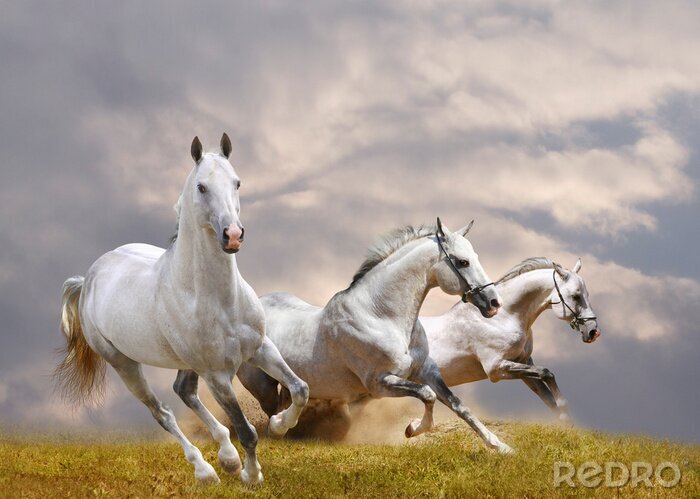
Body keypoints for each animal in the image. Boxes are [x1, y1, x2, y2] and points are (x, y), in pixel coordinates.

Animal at [55, 134, 308, 485]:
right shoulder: (217, 376)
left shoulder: (260, 349)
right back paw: (206, 470)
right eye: (201, 187)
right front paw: (251, 475)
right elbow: (246, 431)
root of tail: (88, 278)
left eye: (237, 182)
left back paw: (227, 458)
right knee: (161, 411)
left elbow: (301, 389)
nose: (232, 235)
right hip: (124, 364)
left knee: (183, 391)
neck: (220, 300)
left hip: (186, 362)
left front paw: (280, 426)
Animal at [238, 219, 514, 453]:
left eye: (475, 258)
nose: (494, 303)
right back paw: (279, 428)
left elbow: (458, 405)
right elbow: (427, 395)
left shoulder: (426, 370)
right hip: (262, 385)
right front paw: (413, 429)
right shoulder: (380, 383)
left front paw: (501, 447)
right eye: (461, 262)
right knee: (274, 408)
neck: (381, 316)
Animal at [422, 257, 600, 422]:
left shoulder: (523, 363)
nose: (593, 332)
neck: (502, 318)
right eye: (576, 296)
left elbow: (548, 397)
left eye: (587, 295)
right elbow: (547, 373)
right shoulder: (496, 369)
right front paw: (564, 408)